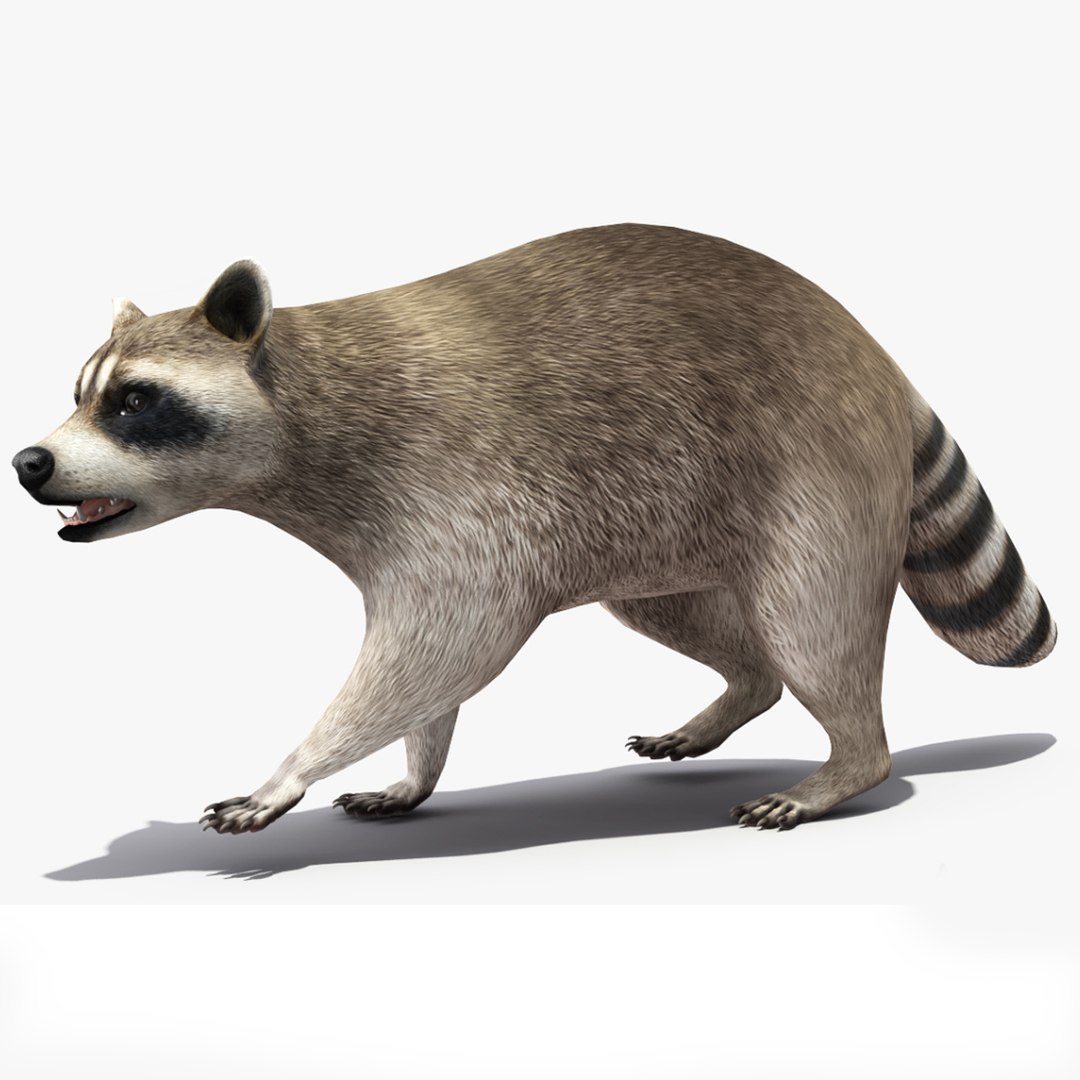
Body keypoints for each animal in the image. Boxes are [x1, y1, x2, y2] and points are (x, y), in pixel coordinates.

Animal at [12, 225, 1056, 834]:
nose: (29, 463)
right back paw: (737, 694)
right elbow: (431, 672)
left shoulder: (456, 490)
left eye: (136, 401)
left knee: (812, 624)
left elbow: (439, 646)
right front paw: (415, 773)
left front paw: (288, 773)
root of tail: (874, 351)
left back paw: (848, 761)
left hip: (813, 470)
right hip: (666, 515)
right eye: (81, 392)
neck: (307, 398)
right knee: (698, 623)